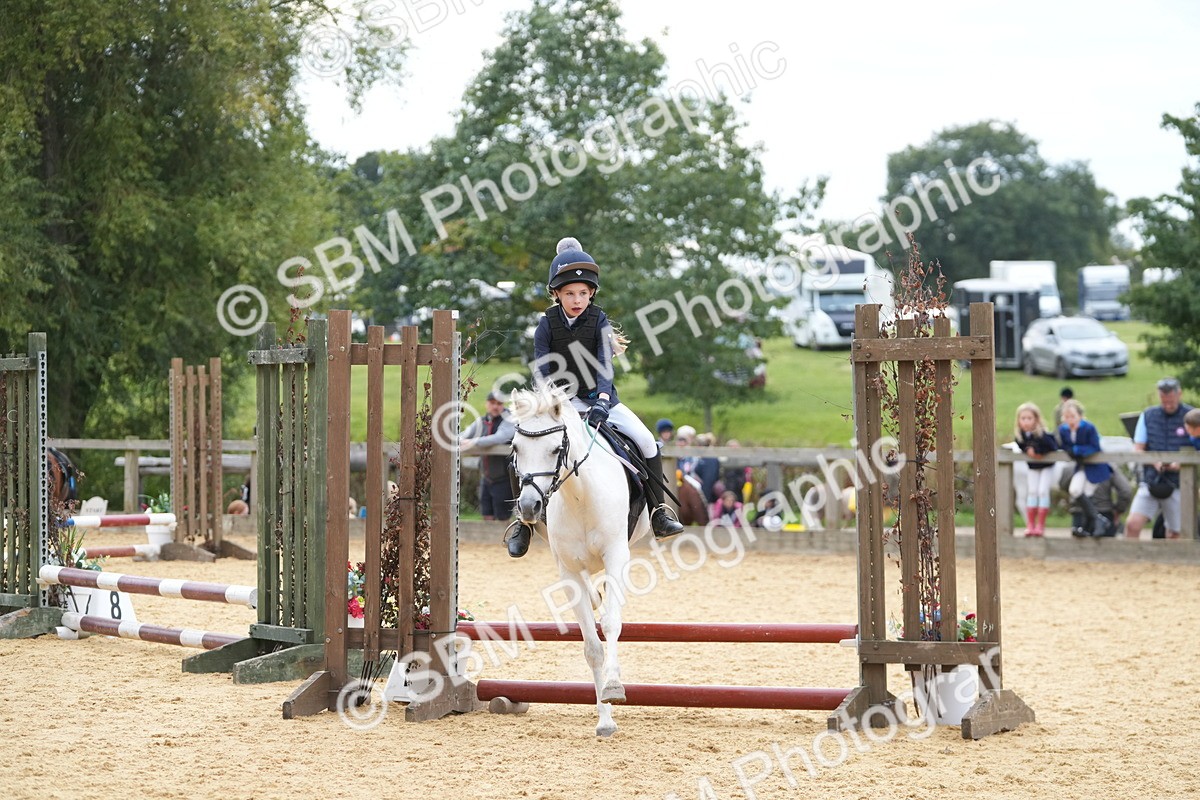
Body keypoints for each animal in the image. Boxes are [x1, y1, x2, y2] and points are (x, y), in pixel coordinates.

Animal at [509, 385, 651, 737]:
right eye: (515, 448)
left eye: (556, 448)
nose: (529, 506)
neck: (579, 495)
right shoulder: (568, 571)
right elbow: (592, 646)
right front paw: (605, 719)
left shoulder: (616, 556)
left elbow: (611, 624)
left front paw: (613, 688)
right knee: (593, 592)